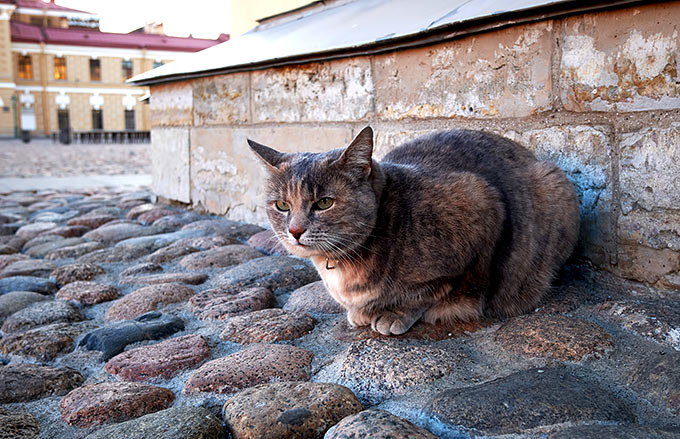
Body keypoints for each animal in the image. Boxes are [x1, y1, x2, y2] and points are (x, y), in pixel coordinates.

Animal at [250, 128, 580, 336]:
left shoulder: (482, 202)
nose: (294, 230)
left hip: (553, 183)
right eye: (282, 205)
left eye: (324, 202)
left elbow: (434, 290)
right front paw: (363, 312)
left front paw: (394, 313)